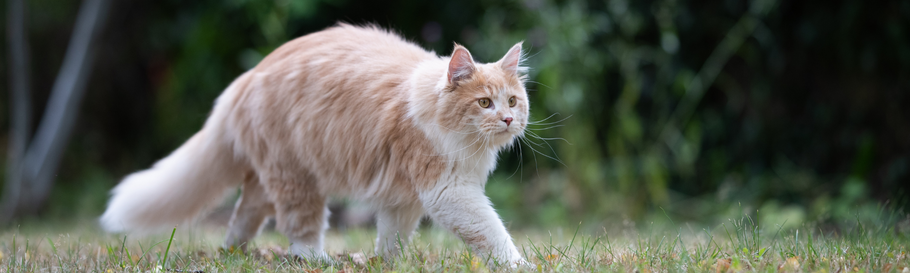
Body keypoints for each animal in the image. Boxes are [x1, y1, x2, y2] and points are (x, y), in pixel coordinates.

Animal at [100, 23, 532, 266]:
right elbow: (493, 233)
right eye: (484, 103)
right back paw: (315, 259)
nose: (508, 120)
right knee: (298, 229)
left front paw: (389, 263)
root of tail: (247, 77)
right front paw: (518, 264)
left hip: (273, 177)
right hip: (298, 178)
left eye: (512, 101)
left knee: (243, 212)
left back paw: (234, 253)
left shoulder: (404, 197)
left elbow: (392, 236)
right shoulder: (448, 190)